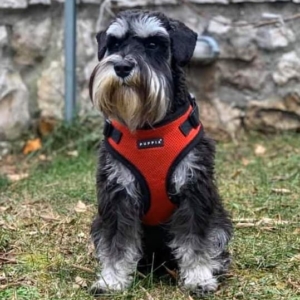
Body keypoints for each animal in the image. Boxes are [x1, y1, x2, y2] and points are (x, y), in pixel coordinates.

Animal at [88, 8, 233, 296]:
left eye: (153, 44)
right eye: (115, 44)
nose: (122, 67)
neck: (148, 128)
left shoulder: (194, 189)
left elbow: (195, 241)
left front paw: (199, 277)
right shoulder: (117, 194)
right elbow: (117, 243)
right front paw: (111, 280)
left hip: (220, 222)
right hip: (97, 224)